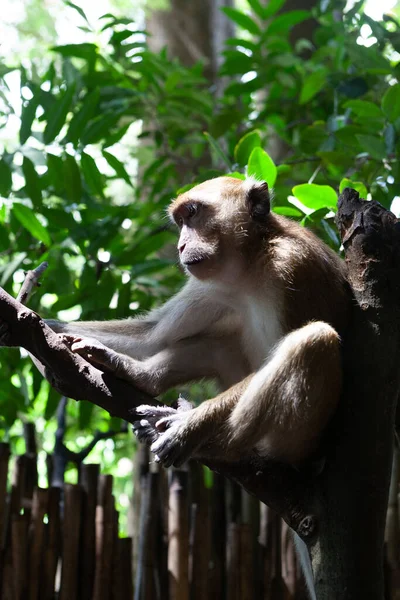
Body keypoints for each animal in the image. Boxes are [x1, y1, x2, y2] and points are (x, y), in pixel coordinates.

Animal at [47, 175, 350, 468]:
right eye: (180, 221)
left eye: (192, 213)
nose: (181, 245)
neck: (252, 263)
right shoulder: (210, 285)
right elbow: (154, 336)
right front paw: (49, 326)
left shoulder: (293, 267)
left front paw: (190, 427)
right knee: (219, 344)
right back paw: (139, 375)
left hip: (298, 441)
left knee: (314, 338)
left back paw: (215, 443)